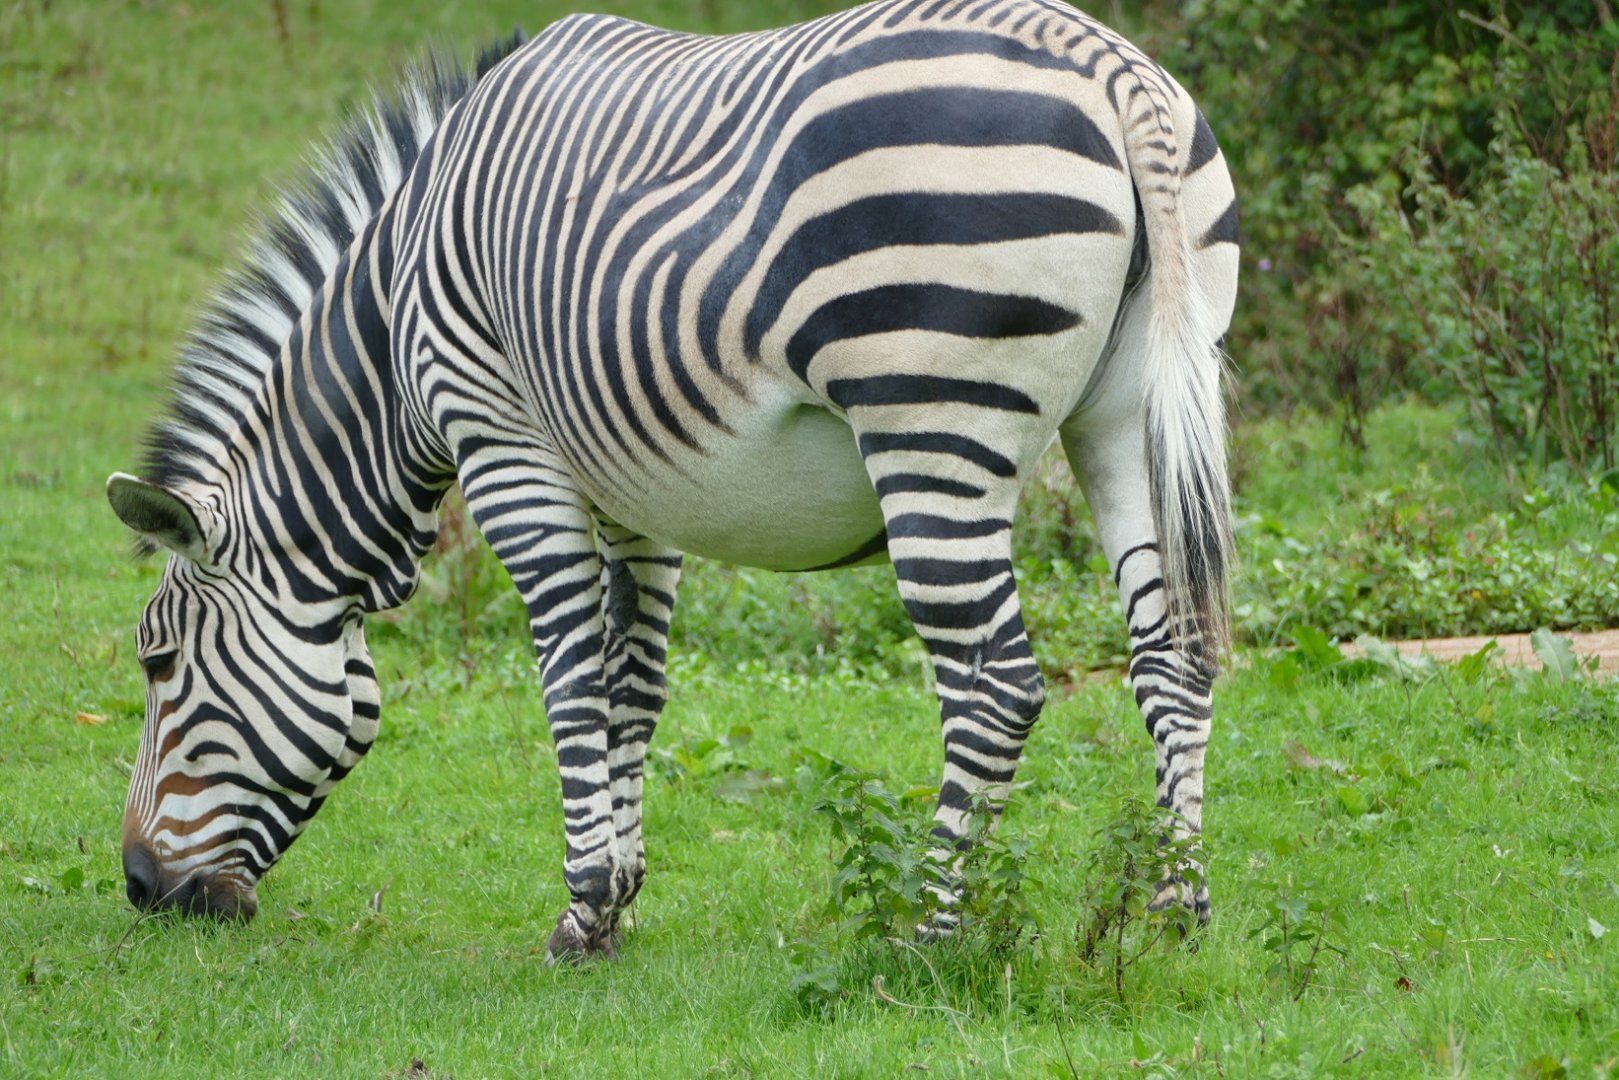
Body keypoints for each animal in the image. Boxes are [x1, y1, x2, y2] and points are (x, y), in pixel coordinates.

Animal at [107, 0, 1238, 958]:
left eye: (157, 662)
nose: (139, 888)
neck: (395, 320)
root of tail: (1108, 66)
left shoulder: (502, 441)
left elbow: (568, 672)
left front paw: (579, 909)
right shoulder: (631, 486)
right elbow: (631, 683)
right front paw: (622, 898)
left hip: (931, 418)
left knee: (994, 677)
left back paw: (930, 929)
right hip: (1129, 414)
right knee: (1175, 653)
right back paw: (1174, 908)